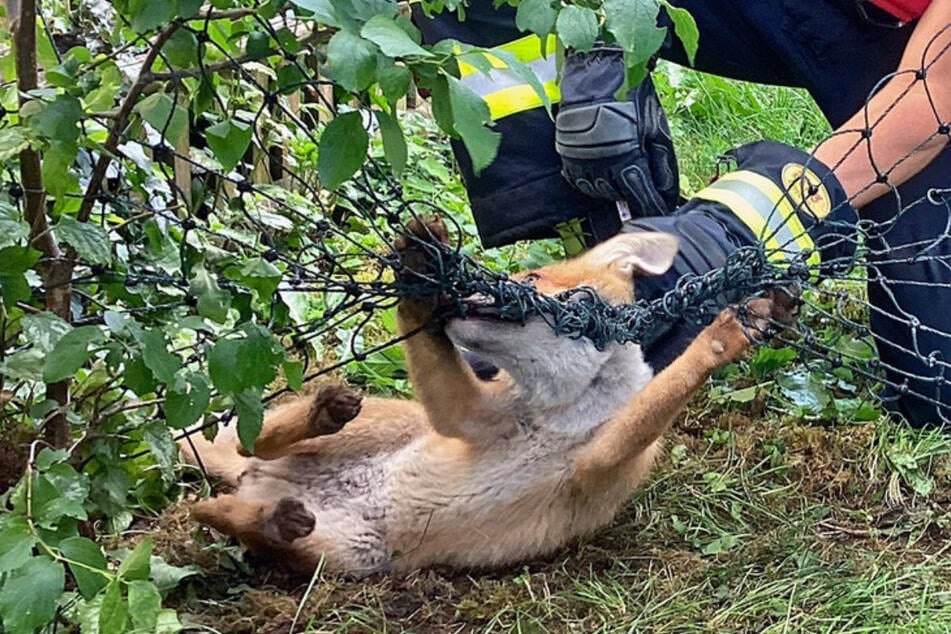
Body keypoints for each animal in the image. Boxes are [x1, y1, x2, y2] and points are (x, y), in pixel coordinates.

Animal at [183, 216, 791, 577]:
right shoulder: (469, 419)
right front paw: (418, 267)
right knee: (248, 445)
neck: (562, 412)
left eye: (532, 276)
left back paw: (262, 516)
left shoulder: (602, 460)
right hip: (380, 436)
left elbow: (665, 389)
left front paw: (731, 328)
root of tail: (262, 485)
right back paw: (318, 415)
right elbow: (427, 337)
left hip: (350, 554)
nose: (459, 295)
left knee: (213, 508)